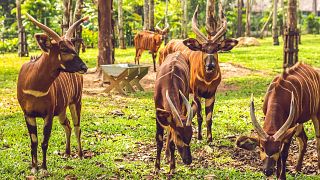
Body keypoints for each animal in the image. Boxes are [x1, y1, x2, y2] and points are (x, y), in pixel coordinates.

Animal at [18, 13, 89, 174]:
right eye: (63, 49)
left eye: (73, 47)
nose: (84, 67)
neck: (34, 85)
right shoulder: (28, 114)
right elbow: (34, 141)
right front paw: (34, 168)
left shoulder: (48, 114)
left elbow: (44, 142)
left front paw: (43, 169)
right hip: (62, 110)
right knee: (67, 125)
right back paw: (67, 153)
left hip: (76, 101)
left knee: (77, 127)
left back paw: (80, 155)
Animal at [159, 4, 238, 143]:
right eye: (204, 49)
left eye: (216, 48)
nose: (210, 66)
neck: (207, 79)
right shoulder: (197, 93)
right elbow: (200, 117)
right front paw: (200, 137)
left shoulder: (211, 94)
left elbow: (209, 118)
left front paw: (210, 138)